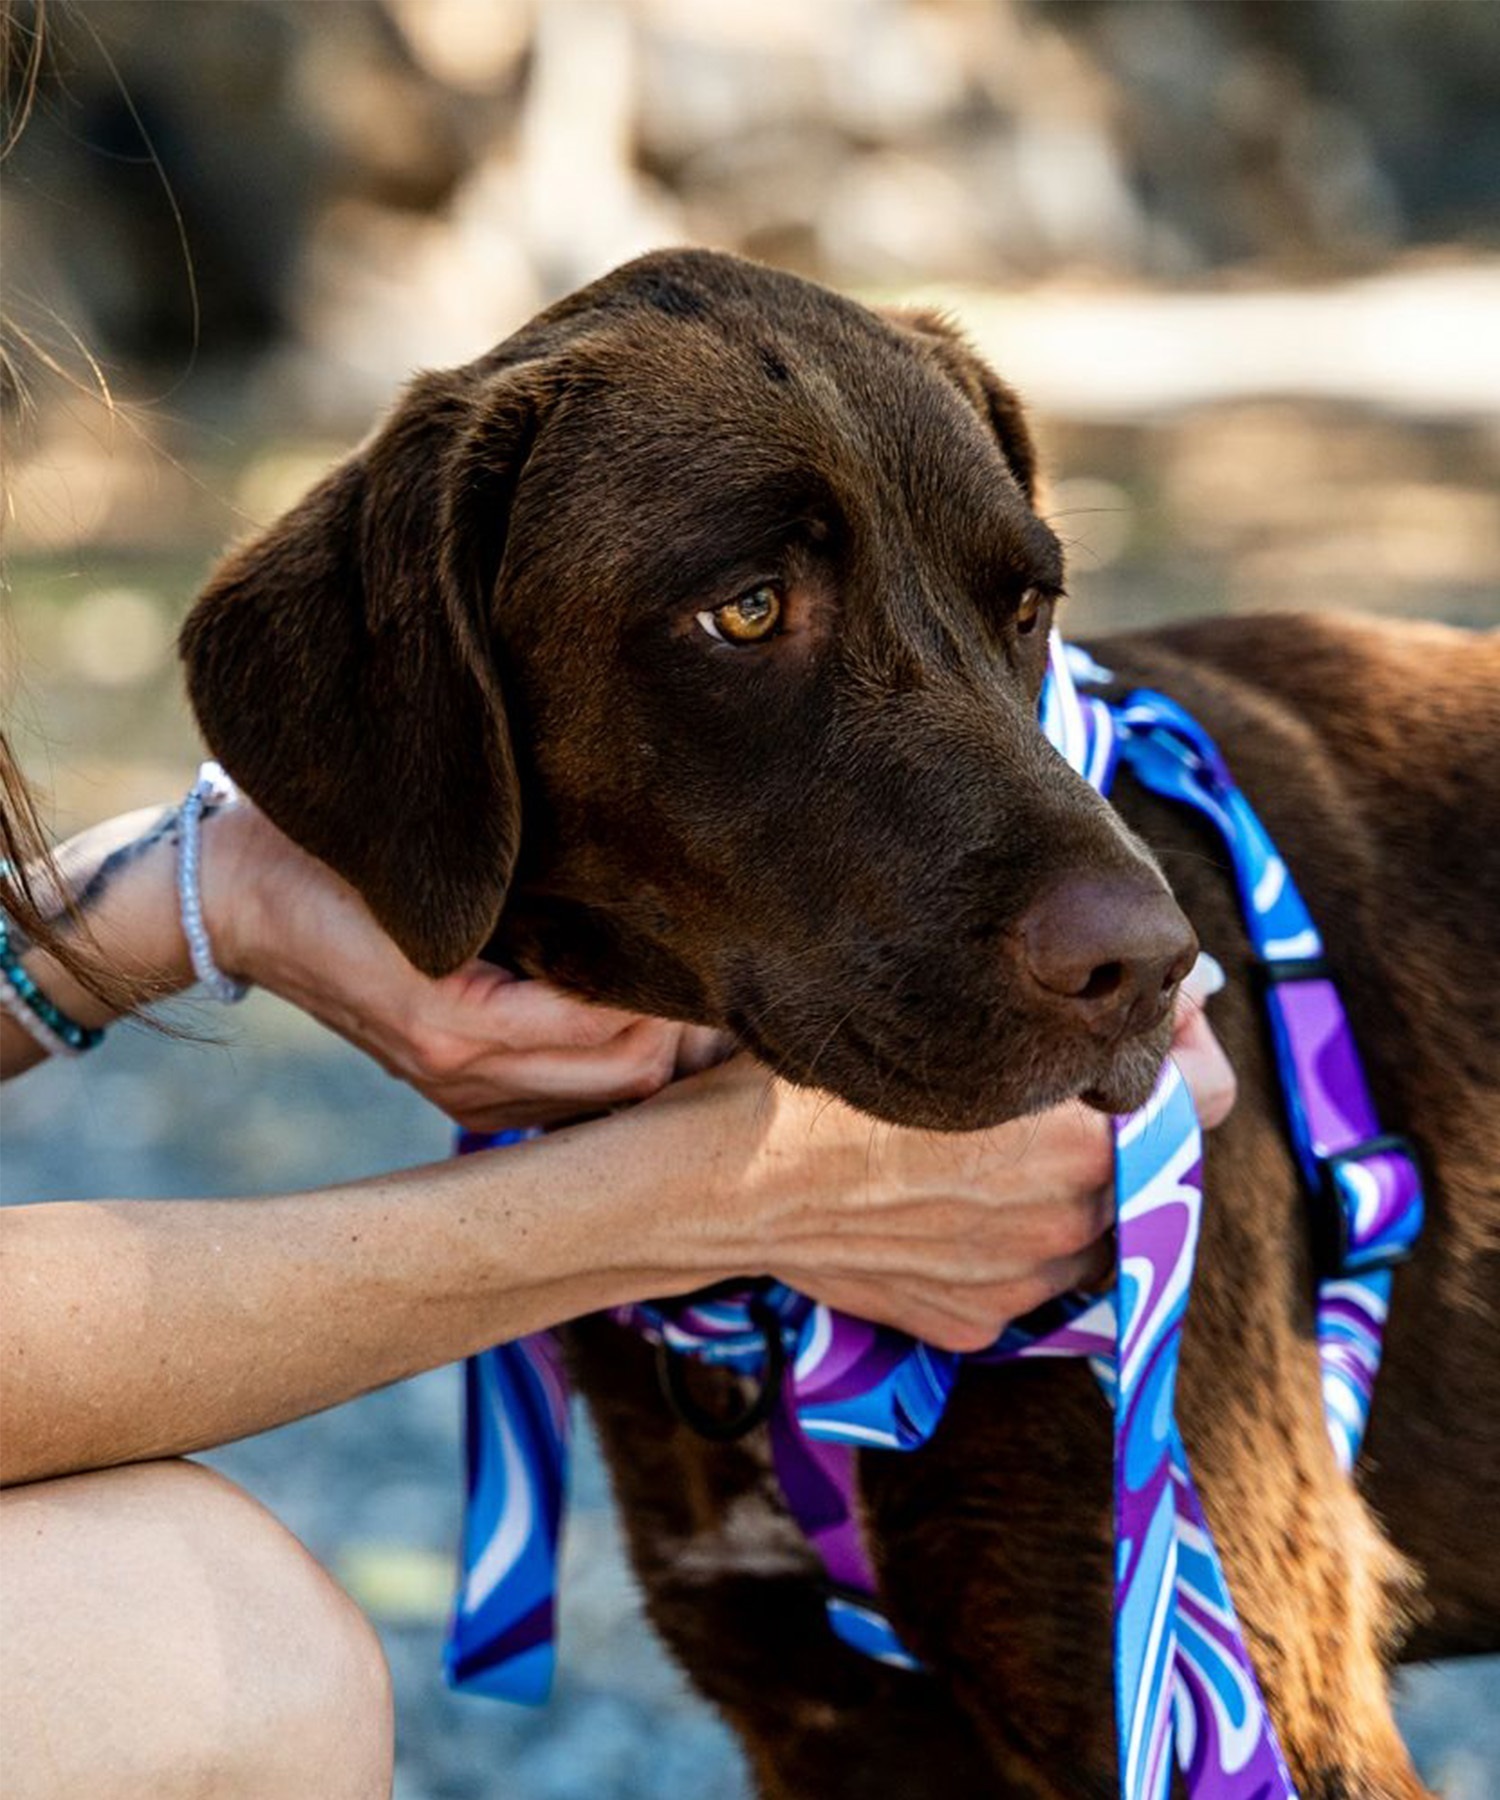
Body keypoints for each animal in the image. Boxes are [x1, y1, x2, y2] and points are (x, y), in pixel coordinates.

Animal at [178, 246, 1498, 1792]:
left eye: (1026, 606)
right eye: (747, 610)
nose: (1153, 967)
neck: (758, 1305)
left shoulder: (1230, 1698)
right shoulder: (829, 1716)